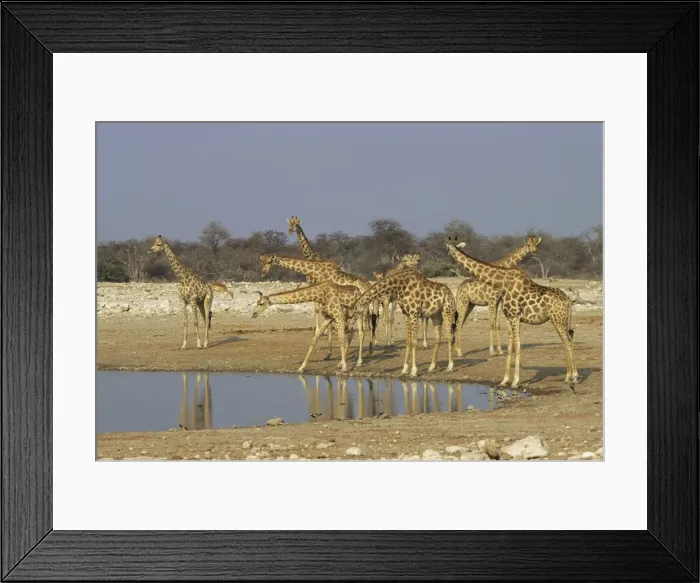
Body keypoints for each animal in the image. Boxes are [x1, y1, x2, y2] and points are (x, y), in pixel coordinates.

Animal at [444, 237, 579, 389]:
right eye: (529, 244)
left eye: (448, 247)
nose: (447, 254)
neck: (502, 282)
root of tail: (568, 301)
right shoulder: (510, 317)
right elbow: (510, 346)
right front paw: (504, 380)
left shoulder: (513, 315)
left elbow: (517, 345)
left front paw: (515, 381)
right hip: (560, 320)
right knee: (567, 340)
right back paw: (568, 376)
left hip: (558, 319)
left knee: (568, 341)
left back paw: (574, 376)